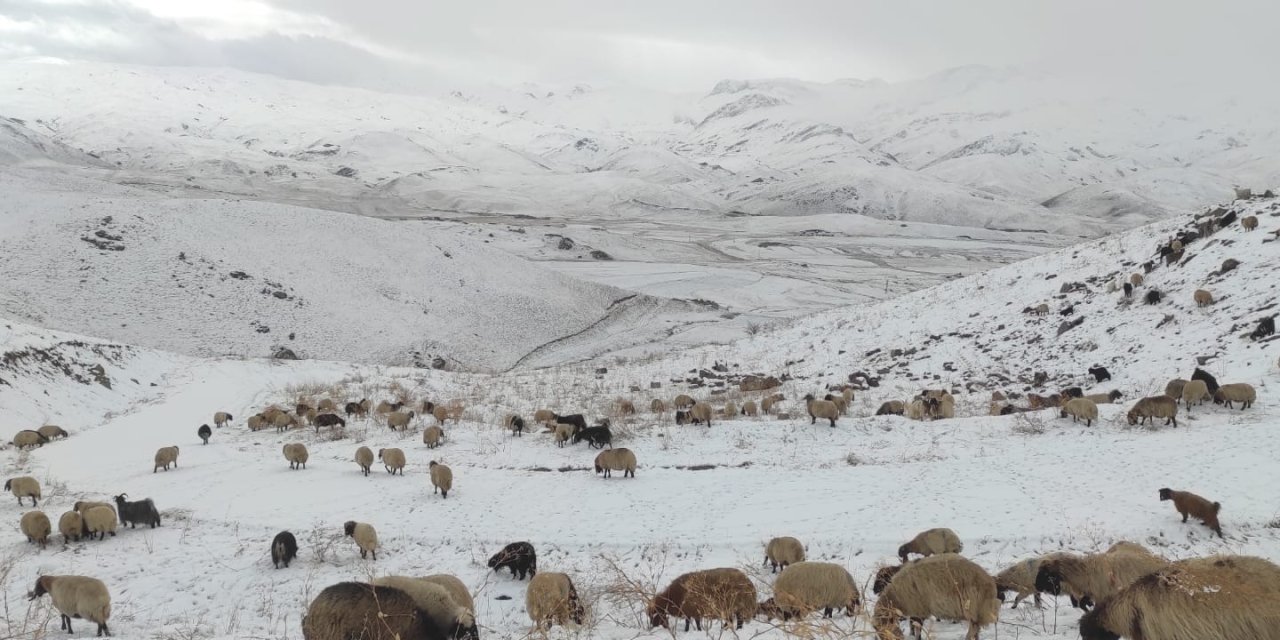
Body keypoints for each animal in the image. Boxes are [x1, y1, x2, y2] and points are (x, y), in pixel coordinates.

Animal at [870, 555, 998, 640]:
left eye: (880, 629)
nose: (874, 590)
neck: (896, 597)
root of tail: (990, 583)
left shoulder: (919, 609)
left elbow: (917, 629)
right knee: (976, 628)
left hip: (972, 606)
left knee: (974, 627)